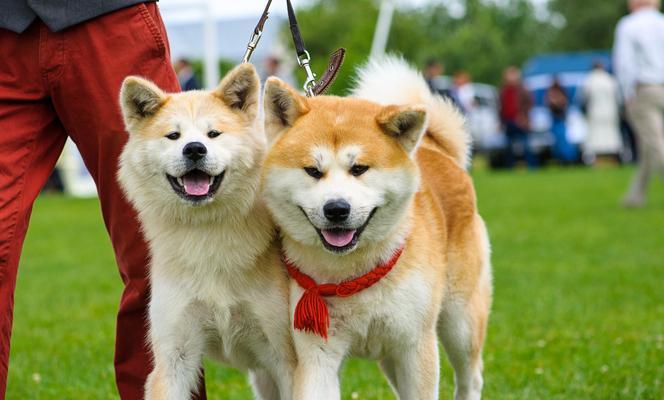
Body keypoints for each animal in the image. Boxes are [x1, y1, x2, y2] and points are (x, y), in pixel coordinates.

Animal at [118, 64, 294, 398]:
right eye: (173, 136)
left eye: (214, 134)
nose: (195, 149)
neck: (207, 231)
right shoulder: (174, 357)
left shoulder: (287, 358)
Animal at [260, 58, 492, 400]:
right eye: (313, 171)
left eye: (359, 168)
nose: (336, 209)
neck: (351, 273)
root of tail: (437, 150)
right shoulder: (316, 354)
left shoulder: (415, 347)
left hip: (458, 319)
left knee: (470, 377)